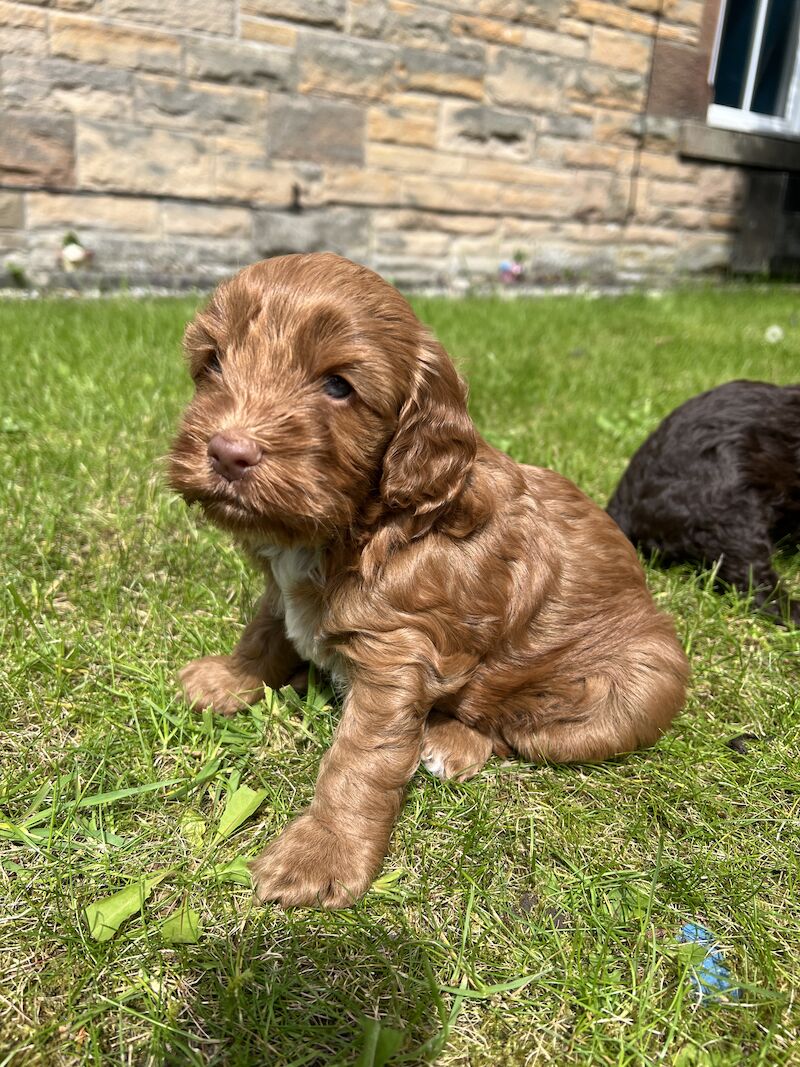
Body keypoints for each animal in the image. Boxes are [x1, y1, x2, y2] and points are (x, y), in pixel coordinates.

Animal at [169, 251, 691, 909]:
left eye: (338, 386)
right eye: (212, 361)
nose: (227, 451)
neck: (369, 524)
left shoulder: (399, 652)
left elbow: (361, 757)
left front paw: (322, 854)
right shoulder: (283, 589)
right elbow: (263, 630)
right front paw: (226, 680)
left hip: (639, 685)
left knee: (515, 729)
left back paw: (448, 742)